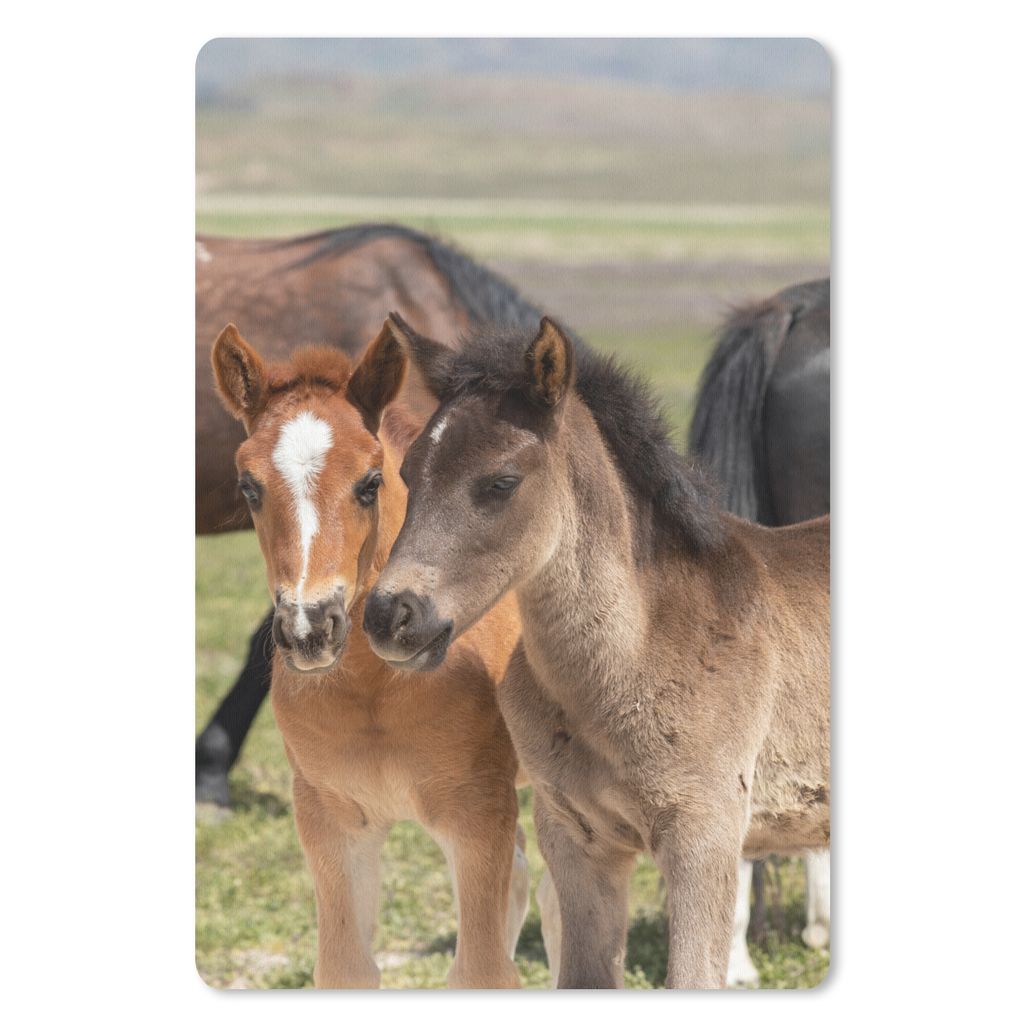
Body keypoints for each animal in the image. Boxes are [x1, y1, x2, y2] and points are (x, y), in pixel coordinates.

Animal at [208, 321, 530, 988]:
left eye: (370, 484)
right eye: (248, 488)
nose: (310, 627)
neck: (374, 687)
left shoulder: (479, 814)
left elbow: (483, 971)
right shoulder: (331, 820)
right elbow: (345, 967)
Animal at [361, 314, 830, 988]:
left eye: (502, 481)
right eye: (407, 475)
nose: (390, 615)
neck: (626, 663)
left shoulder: (705, 834)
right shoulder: (575, 838)